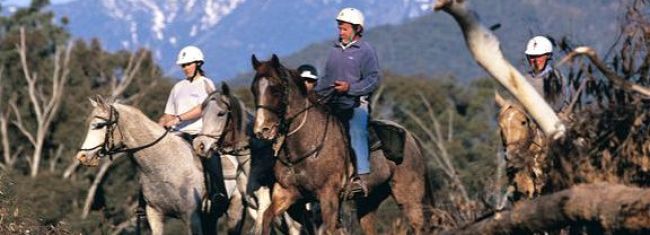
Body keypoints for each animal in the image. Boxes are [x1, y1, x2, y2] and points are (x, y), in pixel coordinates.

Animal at [73, 96, 244, 234]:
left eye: (99, 125)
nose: (82, 157)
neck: (163, 165)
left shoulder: (191, 216)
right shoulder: (155, 214)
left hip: (235, 211)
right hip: (211, 217)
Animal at [251, 54, 432, 235]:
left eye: (275, 89)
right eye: (254, 89)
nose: (262, 130)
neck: (306, 144)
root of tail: (410, 137)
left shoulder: (328, 196)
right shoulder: (288, 193)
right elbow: (267, 217)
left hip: (409, 198)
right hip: (369, 202)